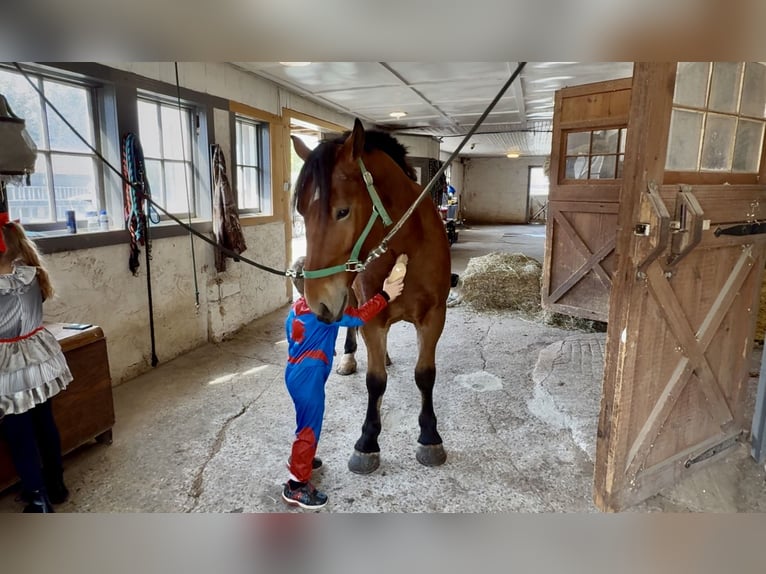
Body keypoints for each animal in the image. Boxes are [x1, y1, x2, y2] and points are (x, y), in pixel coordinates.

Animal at [291, 118, 451, 474]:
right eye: (301, 211)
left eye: (342, 211)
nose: (317, 301)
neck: (407, 245)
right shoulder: (372, 317)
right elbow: (375, 381)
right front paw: (367, 442)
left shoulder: (434, 316)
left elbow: (425, 375)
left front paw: (430, 436)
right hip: (349, 296)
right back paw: (349, 357)